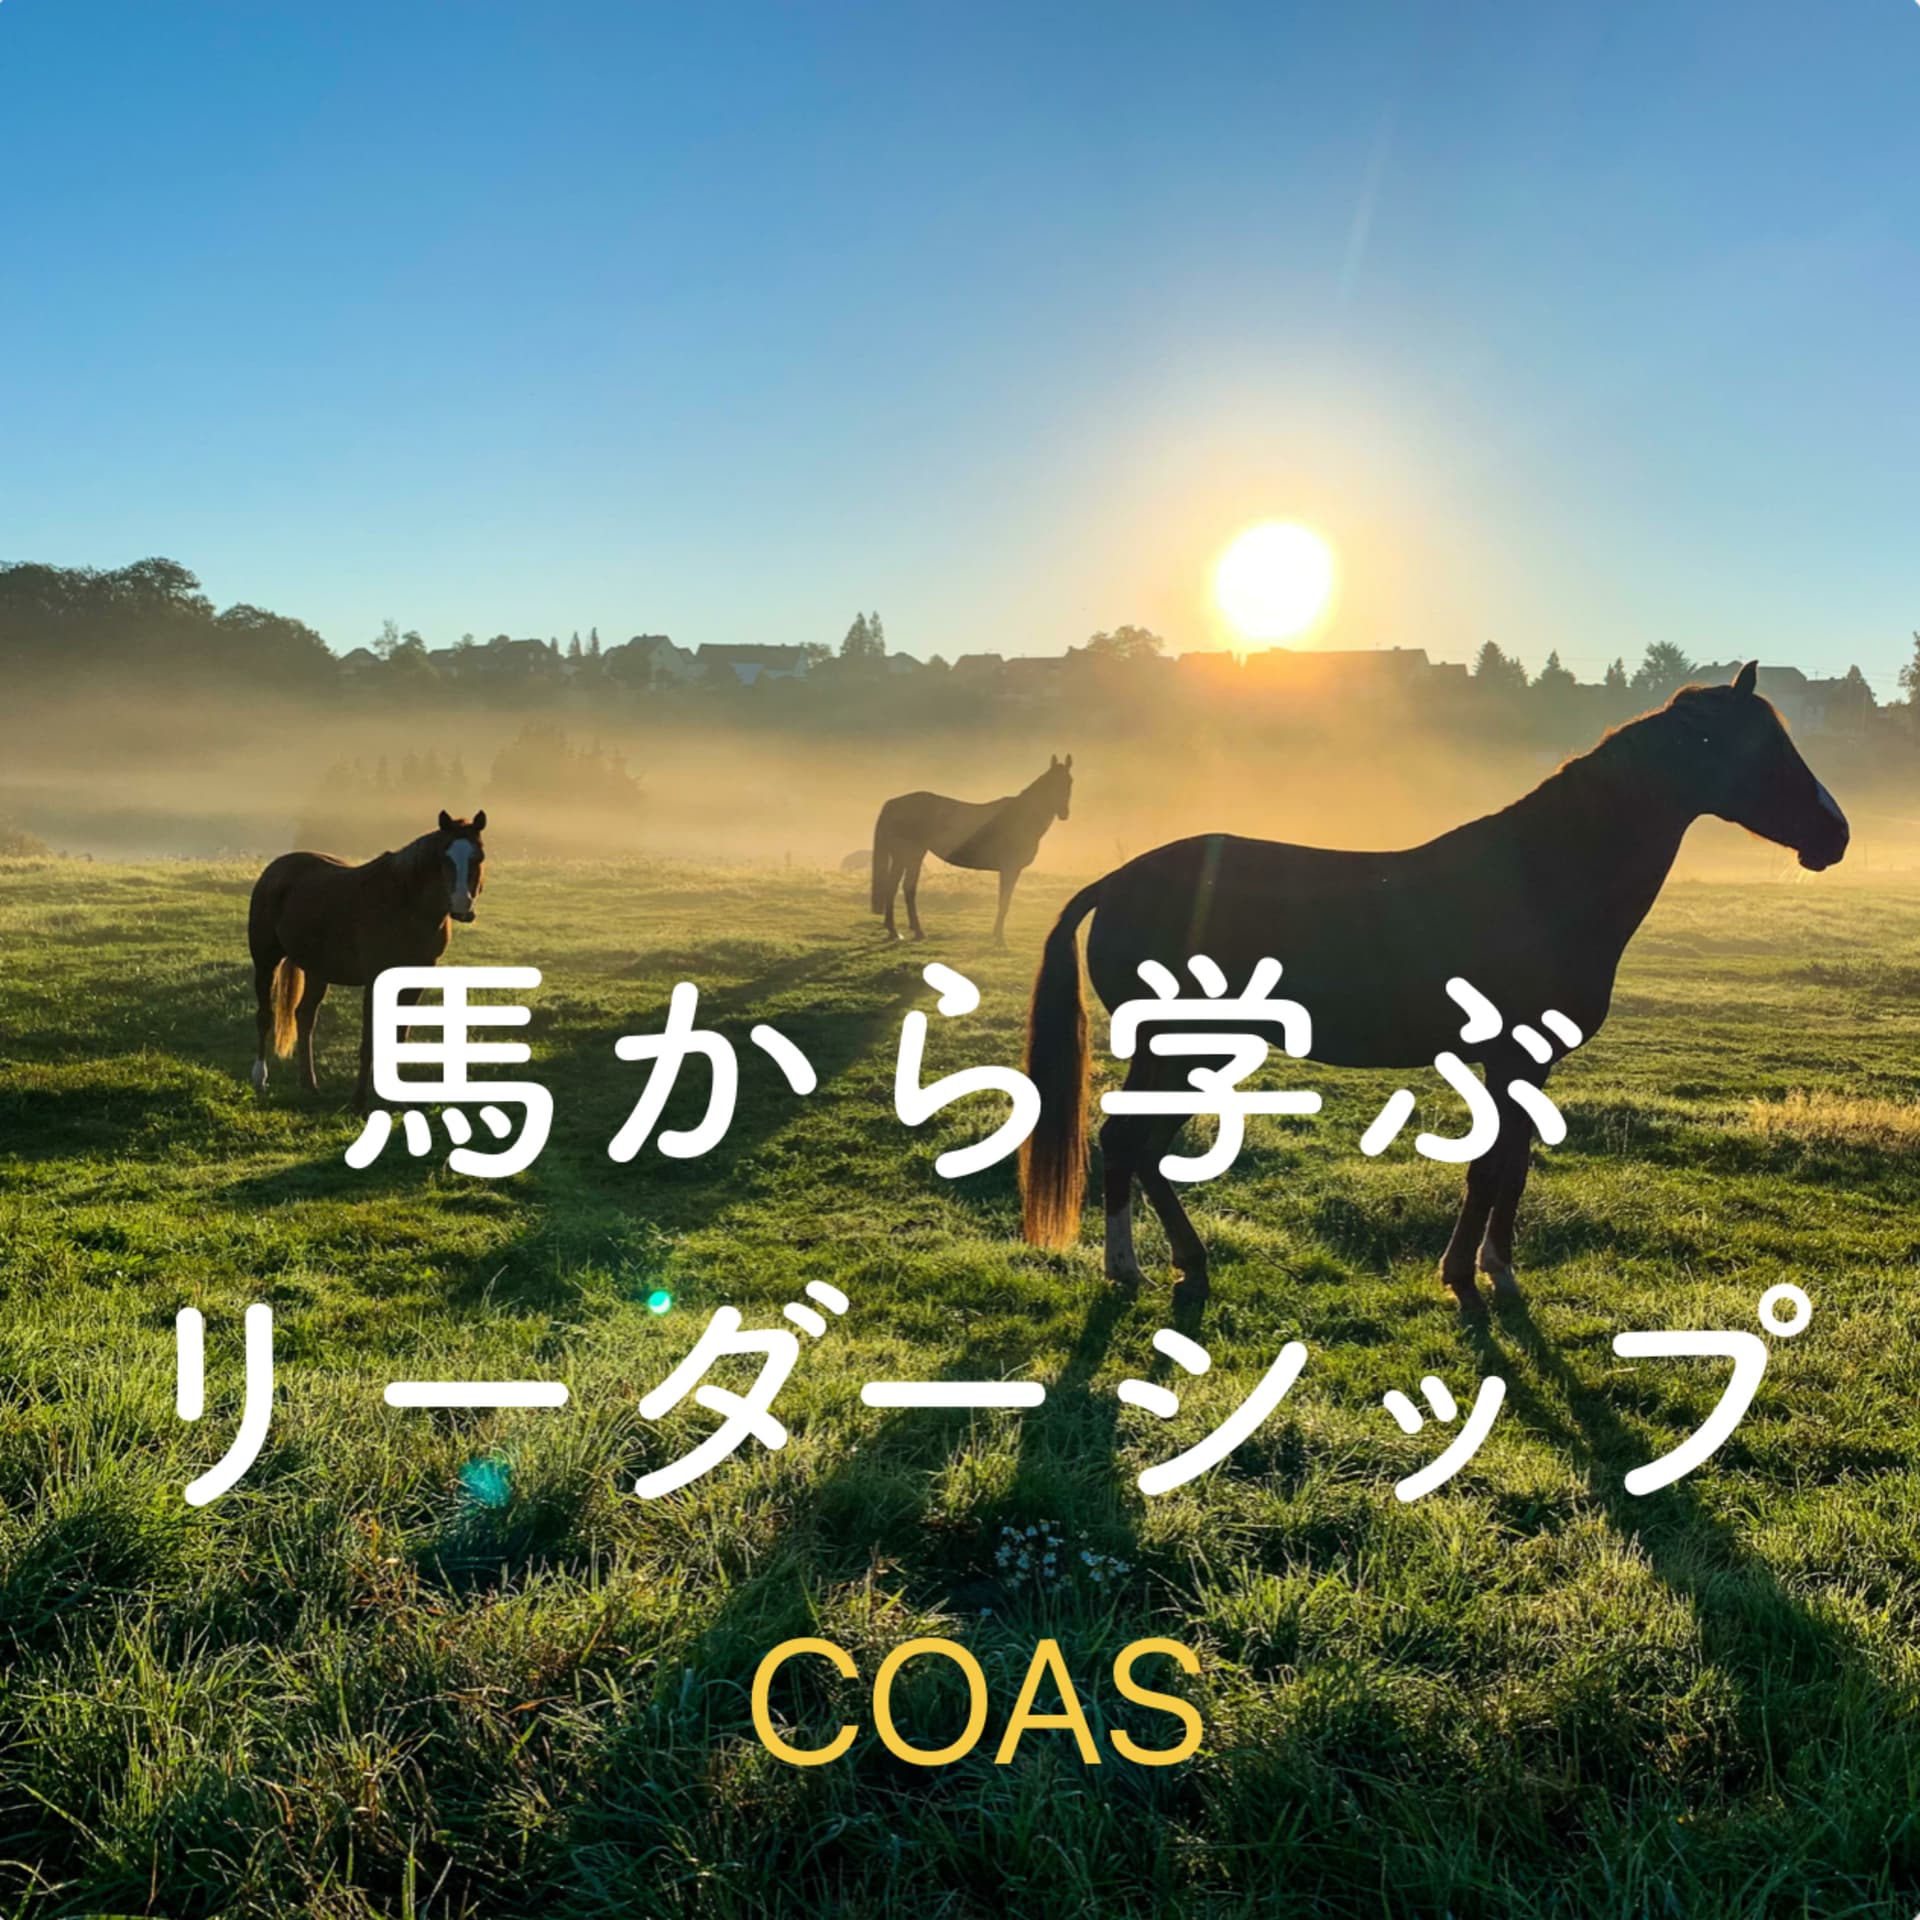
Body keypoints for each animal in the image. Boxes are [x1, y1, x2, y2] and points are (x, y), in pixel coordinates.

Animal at [247, 809, 488, 1110]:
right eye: (445, 858)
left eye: (478, 858)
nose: (461, 906)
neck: (406, 906)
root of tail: (275, 869)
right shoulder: (375, 980)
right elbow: (369, 1040)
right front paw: (358, 1101)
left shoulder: (414, 981)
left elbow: (399, 1036)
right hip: (266, 961)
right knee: (265, 1017)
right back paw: (260, 1078)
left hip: (317, 970)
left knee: (304, 1017)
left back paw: (309, 1085)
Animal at [871, 754, 1073, 943]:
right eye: (1051, 783)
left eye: (1070, 781)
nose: (1064, 813)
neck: (1020, 817)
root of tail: (894, 804)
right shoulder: (1010, 869)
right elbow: (1004, 902)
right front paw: (999, 938)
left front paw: (996, 934)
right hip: (909, 855)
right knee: (902, 888)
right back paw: (907, 931)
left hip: (906, 856)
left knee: (900, 887)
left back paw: (904, 931)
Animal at [1018, 664, 1849, 1316]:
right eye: (1765, 749)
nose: (1835, 835)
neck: (1543, 877)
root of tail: (1118, 881)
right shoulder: (1513, 1059)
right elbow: (1495, 1166)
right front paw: (1473, 1276)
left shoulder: (1526, 1064)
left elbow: (1510, 1164)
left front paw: (1490, 1270)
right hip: (1181, 1048)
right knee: (1128, 1142)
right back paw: (1129, 1268)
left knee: (1145, 1148)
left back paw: (1184, 1262)